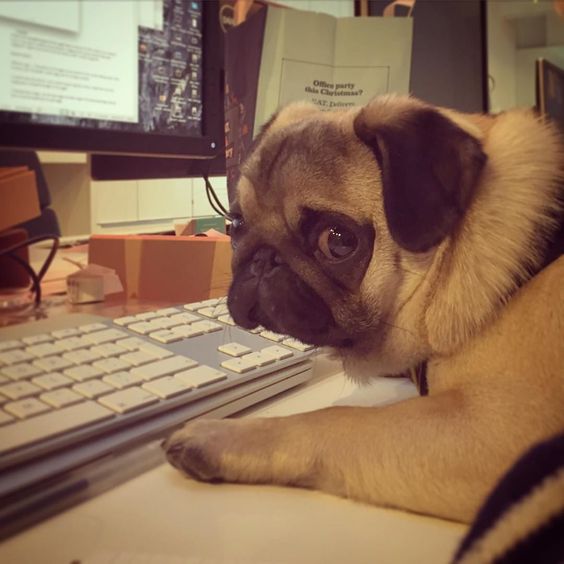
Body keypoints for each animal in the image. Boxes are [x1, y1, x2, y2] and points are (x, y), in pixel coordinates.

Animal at [164, 96, 564, 524]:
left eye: (338, 241)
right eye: (236, 224)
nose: (263, 260)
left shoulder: (494, 431)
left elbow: (334, 419)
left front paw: (218, 436)